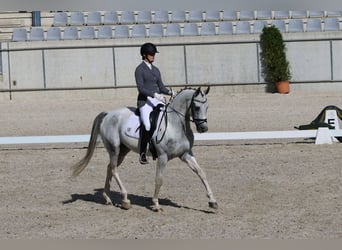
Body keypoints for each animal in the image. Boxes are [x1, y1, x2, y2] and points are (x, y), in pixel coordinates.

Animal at [71, 86, 218, 211]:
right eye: (197, 107)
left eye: (207, 107)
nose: (203, 128)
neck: (175, 124)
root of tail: (107, 114)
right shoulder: (163, 157)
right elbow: (159, 179)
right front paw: (156, 204)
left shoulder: (186, 154)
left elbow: (201, 173)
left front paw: (212, 201)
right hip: (114, 148)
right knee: (113, 169)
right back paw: (125, 200)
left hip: (123, 151)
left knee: (110, 168)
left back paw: (107, 198)